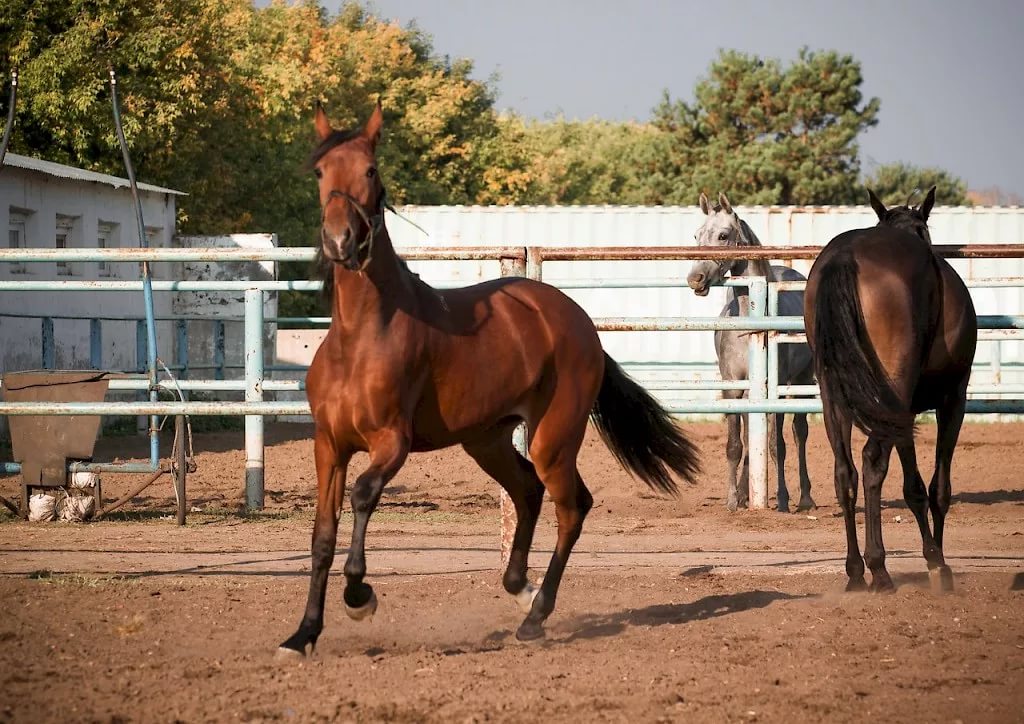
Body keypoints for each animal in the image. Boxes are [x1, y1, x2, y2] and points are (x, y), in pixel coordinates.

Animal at [276, 103, 700, 655]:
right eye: (321, 172)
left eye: (370, 170)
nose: (340, 240)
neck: (361, 336)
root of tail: (576, 320)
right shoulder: (329, 445)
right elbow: (321, 536)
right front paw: (303, 634)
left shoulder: (392, 442)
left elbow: (364, 495)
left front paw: (360, 596)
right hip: (487, 440)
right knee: (528, 492)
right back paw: (520, 589)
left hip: (552, 438)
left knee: (571, 506)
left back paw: (536, 615)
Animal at [684, 189, 819, 512]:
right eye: (696, 235)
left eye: (723, 235)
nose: (695, 279)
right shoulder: (733, 387)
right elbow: (735, 445)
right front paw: (733, 499)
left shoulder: (773, 389)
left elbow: (776, 445)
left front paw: (781, 500)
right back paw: (747, 493)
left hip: (801, 381)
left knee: (799, 433)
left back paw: (805, 497)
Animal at [806, 187, 974, 593]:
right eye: (924, 229)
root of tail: (845, 257)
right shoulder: (952, 399)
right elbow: (938, 487)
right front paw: (939, 563)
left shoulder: (902, 411)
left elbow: (913, 486)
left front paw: (932, 556)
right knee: (871, 463)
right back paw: (878, 569)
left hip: (837, 396)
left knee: (845, 471)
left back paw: (855, 572)